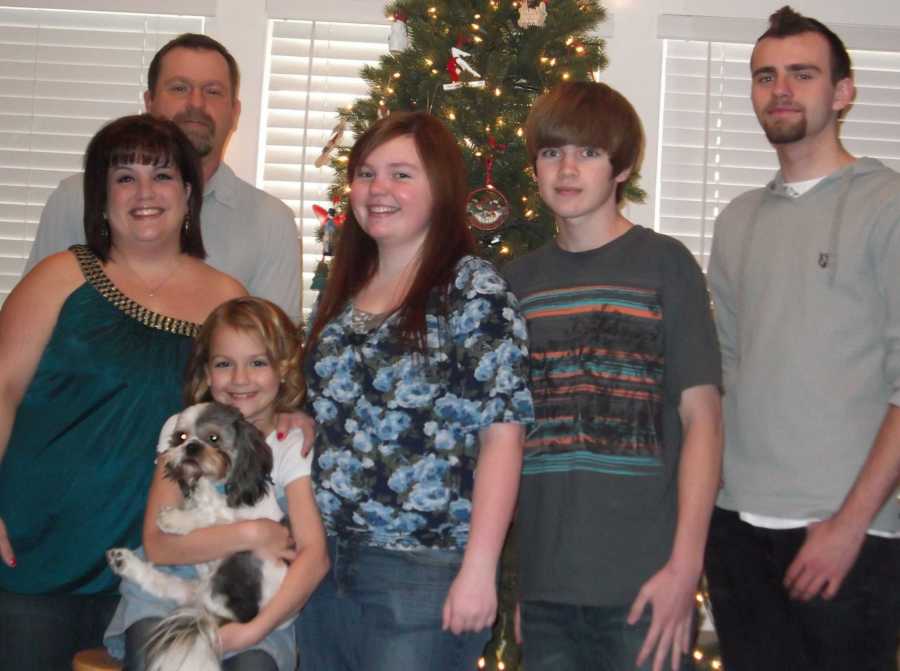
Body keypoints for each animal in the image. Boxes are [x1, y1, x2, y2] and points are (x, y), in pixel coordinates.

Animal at [107, 404, 286, 671]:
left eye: (213, 438)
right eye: (181, 437)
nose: (191, 446)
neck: (213, 486)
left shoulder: (244, 523)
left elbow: (208, 515)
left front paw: (173, 520)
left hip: (242, 561)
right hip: (193, 587)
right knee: (162, 583)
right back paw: (123, 562)